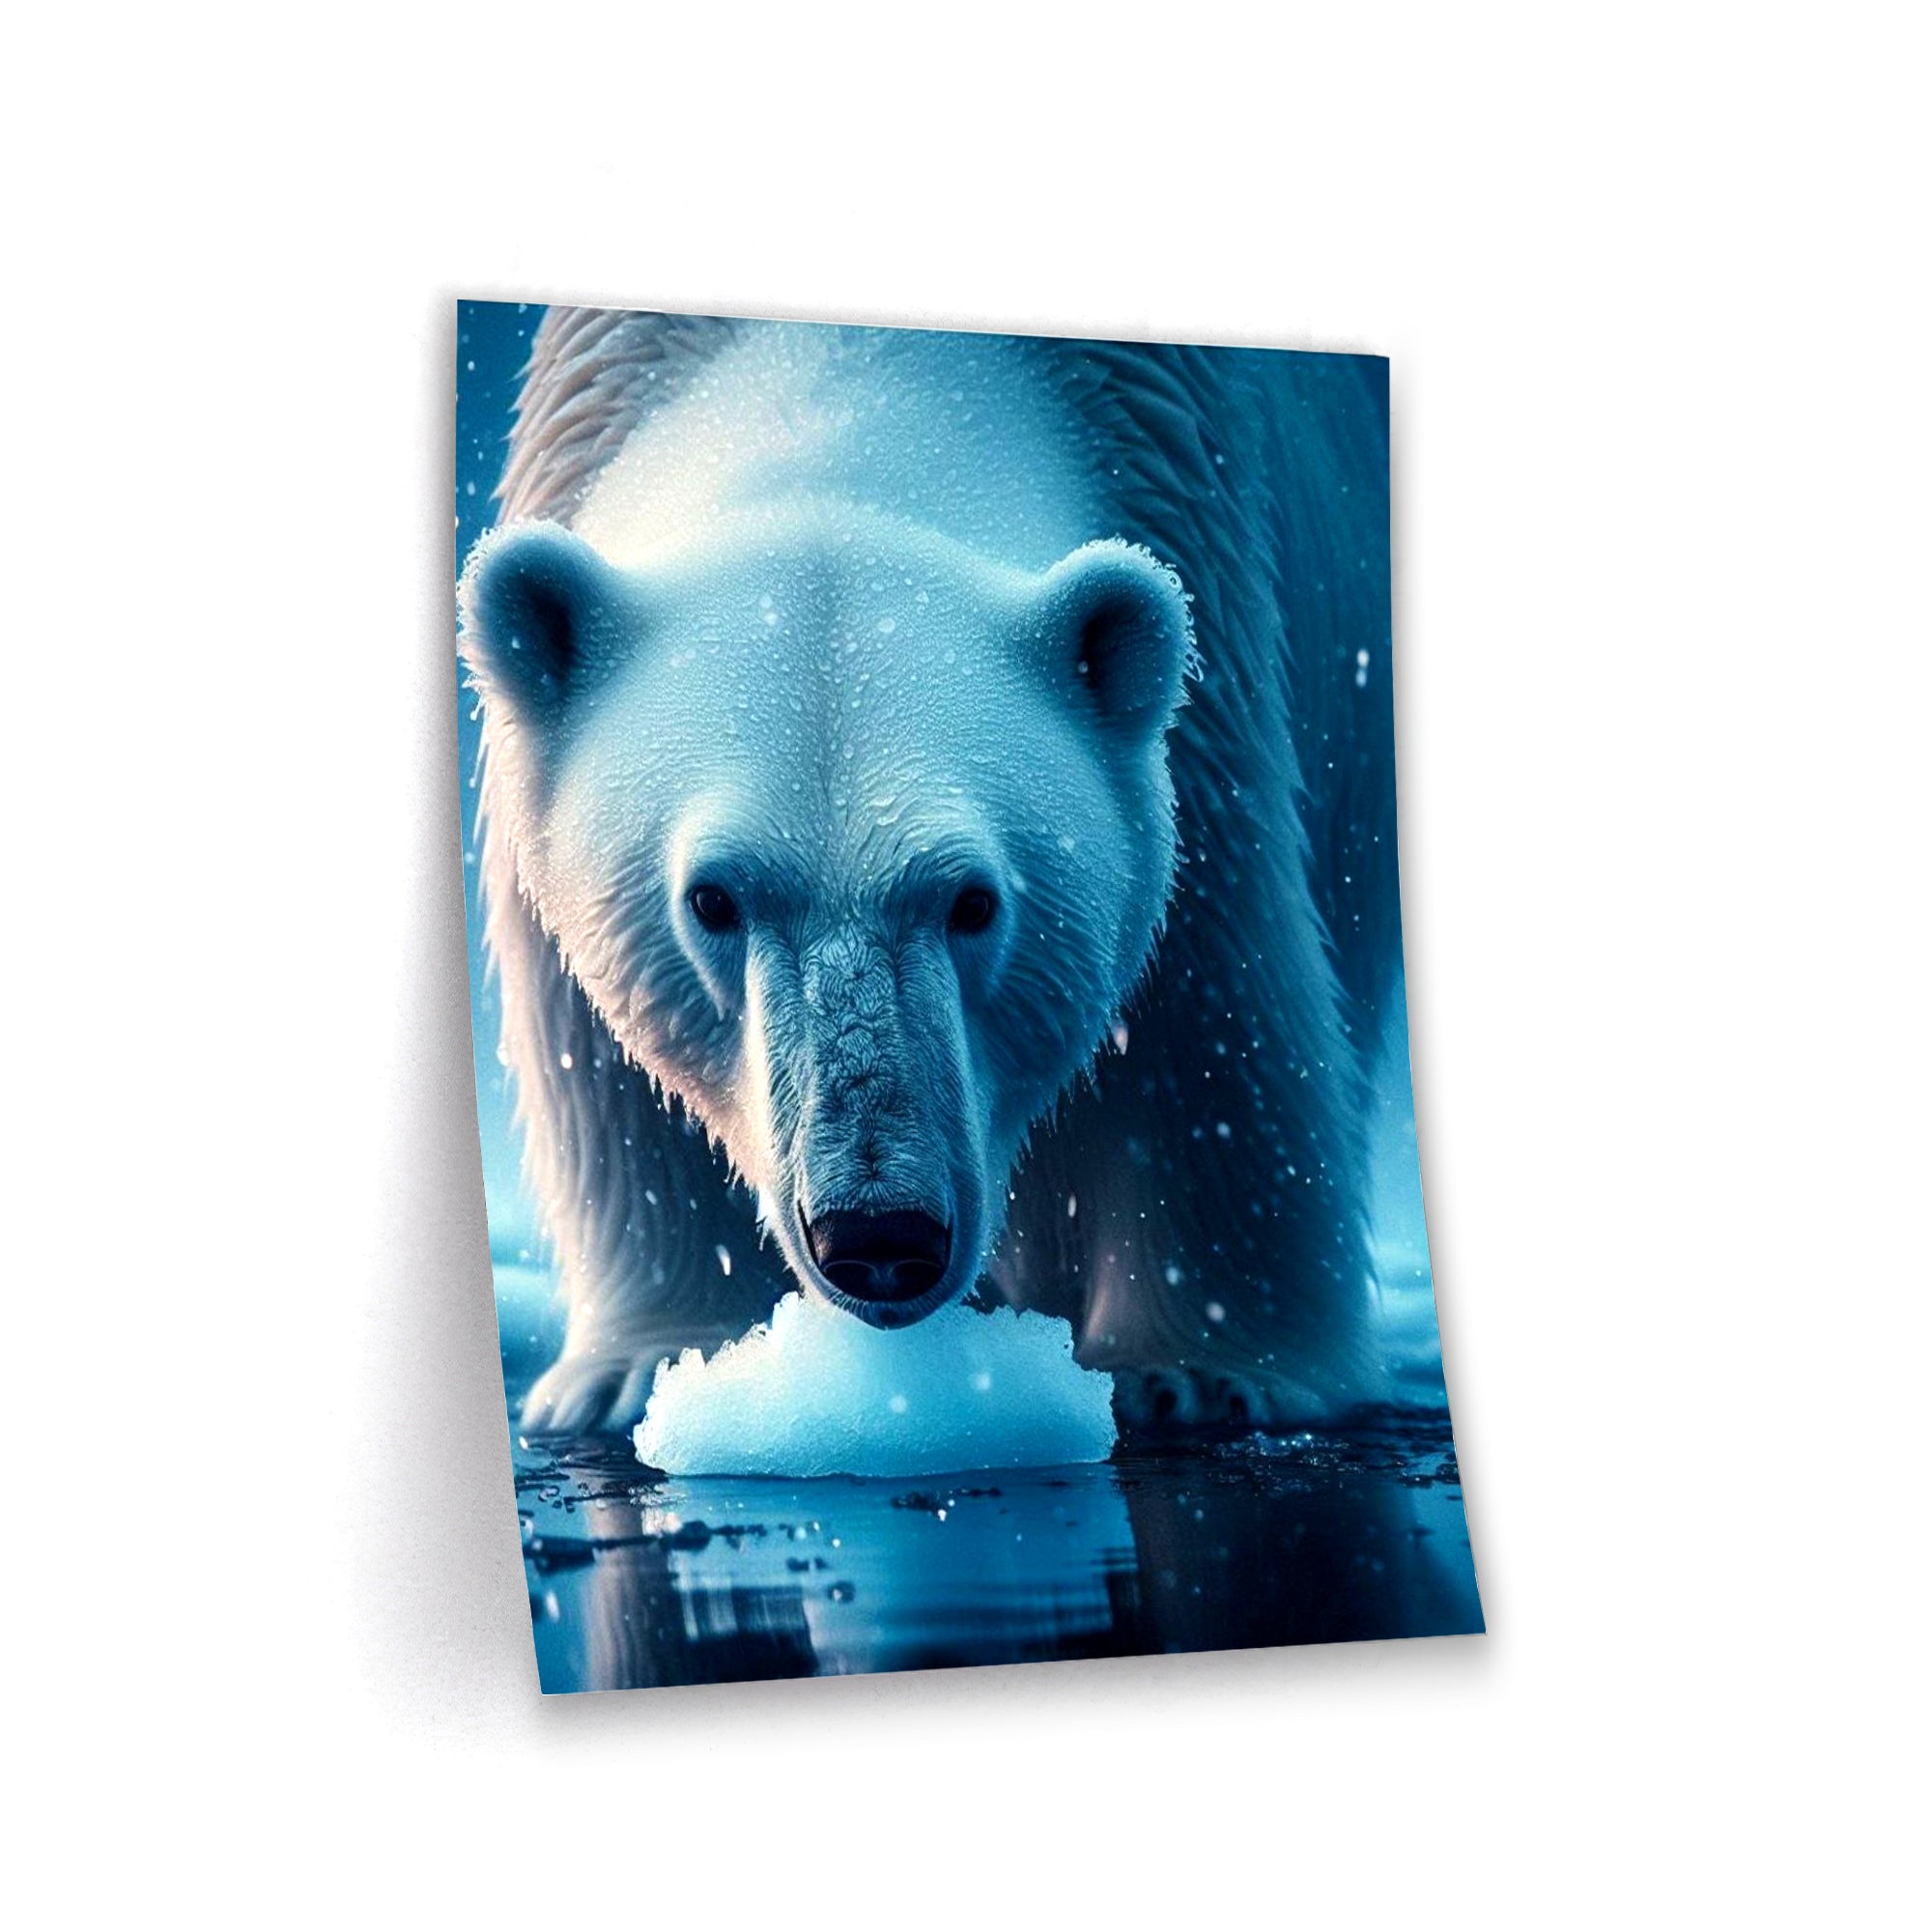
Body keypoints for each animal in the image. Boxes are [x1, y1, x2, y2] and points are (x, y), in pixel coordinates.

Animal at [458, 307, 1400, 1436]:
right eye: (711, 899)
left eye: (973, 900)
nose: (877, 1234)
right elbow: (603, 1068)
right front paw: (643, 1368)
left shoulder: (1207, 639)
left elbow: (1199, 1027)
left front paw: (1203, 1373)